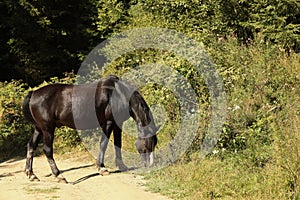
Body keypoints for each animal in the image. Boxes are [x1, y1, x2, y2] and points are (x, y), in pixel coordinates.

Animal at [22, 74, 158, 182]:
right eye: (148, 142)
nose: (150, 165)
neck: (119, 94)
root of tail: (33, 93)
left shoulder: (117, 124)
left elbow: (118, 144)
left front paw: (122, 166)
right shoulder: (108, 123)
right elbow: (103, 143)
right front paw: (102, 168)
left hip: (39, 129)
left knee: (31, 146)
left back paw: (31, 174)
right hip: (47, 129)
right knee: (47, 150)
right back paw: (59, 175)